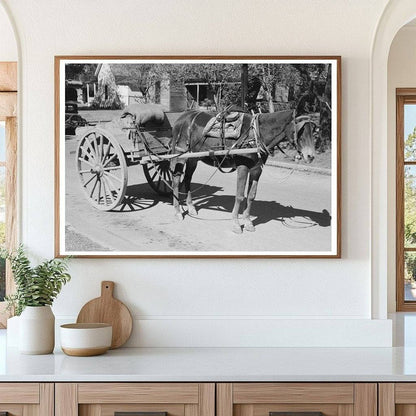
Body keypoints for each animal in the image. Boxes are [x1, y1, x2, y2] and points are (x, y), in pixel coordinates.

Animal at [169, 109, 316, 234]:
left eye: (313, 131)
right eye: (300, 131)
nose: (310, 156)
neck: (256, 135)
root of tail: (181, 117)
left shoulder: (256, 169)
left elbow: (251, 196)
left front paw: (248, 222)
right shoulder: (243, 167)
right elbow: (239, 196)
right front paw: (236, 224)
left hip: (193, 158)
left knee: (187, 179)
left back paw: (191, 207)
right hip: (180, 154)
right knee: (176, 179)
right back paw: (177, 211)